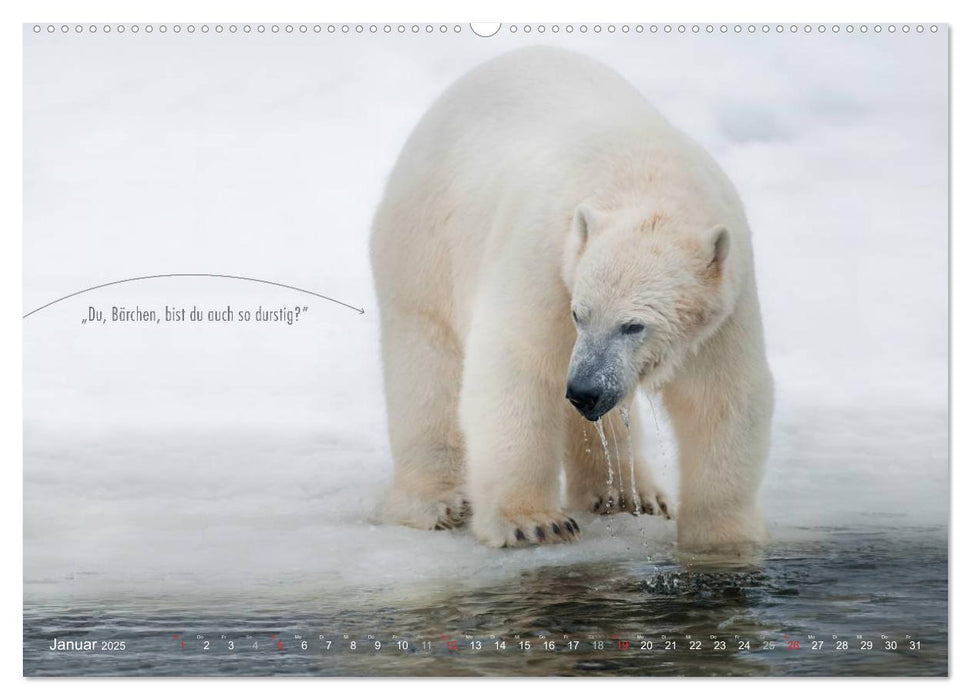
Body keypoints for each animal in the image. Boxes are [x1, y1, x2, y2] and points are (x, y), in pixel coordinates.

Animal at [372, 47, 776, 552]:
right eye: (579, 314)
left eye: (634, 325)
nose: (584, 390)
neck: (645, 177)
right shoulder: (545, 257)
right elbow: (517, 369)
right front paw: (535, 522)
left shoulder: (725, 304)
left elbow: (724, 397)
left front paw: (722, 539)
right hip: (425, 243)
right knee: (426, 369)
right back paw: (439, 502)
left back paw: (628, 495)